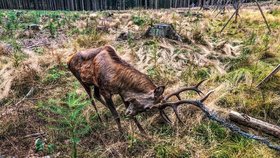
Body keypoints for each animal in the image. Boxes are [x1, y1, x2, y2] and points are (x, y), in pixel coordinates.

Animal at [67, 45, 212, 134]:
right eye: (148, 108)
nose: (127, 113)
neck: (118, 81)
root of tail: (67, 60)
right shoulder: (105, 90)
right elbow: (116, 116)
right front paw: (122, 135)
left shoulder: (122, 94)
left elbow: (131, 115)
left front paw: (144, 134)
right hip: (82, 80)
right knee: (91, 98)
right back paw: (101, 121)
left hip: (94, 84)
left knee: (96, 96)